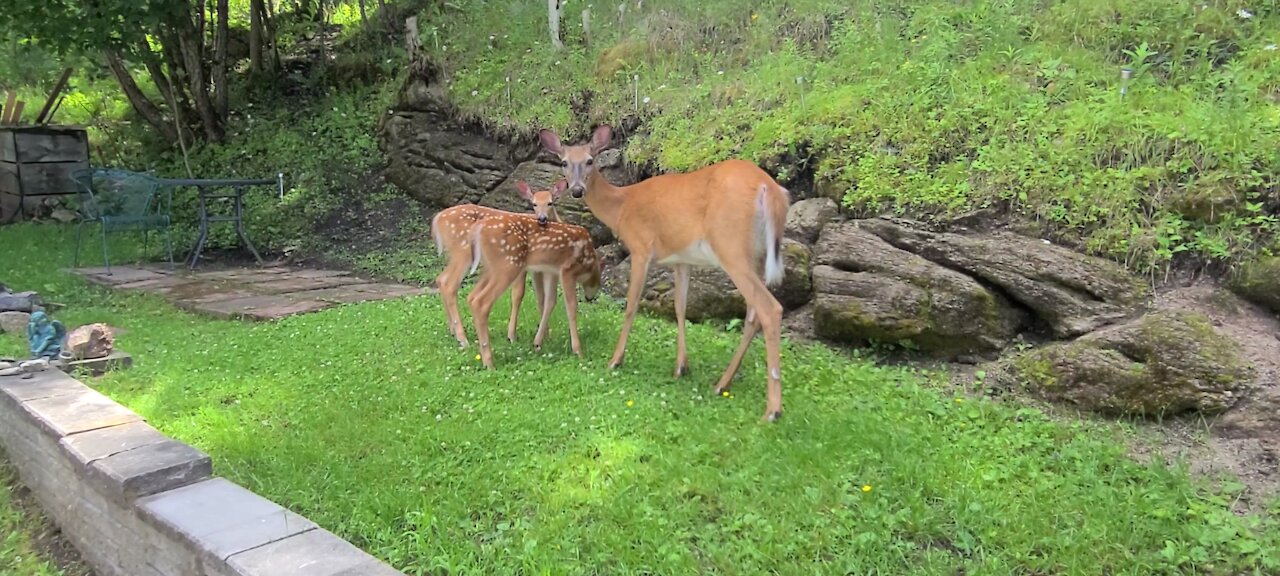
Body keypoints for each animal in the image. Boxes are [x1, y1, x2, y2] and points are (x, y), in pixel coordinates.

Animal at [430, 181, 565, 348]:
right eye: (533, 204)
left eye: (550, 202)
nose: (542, 218)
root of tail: (437, 219)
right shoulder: (521, 264)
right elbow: (518, 294)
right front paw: (512, 336)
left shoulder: (538, 269)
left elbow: (541, 297)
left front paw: (545, 336)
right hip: (463, 251)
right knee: (449, 284)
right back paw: (463, 339)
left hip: (454, 254)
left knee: (441, 279)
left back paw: (453, 332)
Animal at [463, 181, 601, 368]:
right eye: (598, 281)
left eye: (551, 202)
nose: (589, 297)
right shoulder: (566, 270)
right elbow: (570, 306)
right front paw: (577, 351)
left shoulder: (550, 270)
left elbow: (548, 300)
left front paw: (539, 341)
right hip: (508, 266)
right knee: (483, 301)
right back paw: (490, 360)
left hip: (492, 268)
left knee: (472, 296)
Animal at [535, 126, 783, 419]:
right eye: (563, 162)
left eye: (589, 160)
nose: (576, 190)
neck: (622, 205)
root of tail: (770, 189)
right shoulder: (682, 260)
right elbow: (680, 308)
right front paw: (681, 367)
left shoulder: (641, 247)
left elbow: (631, 305)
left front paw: (615, 360)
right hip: (756, 255)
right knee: (753, 315)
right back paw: (722, 383)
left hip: (731, 246)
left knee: (770, 308)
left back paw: (772, 409)